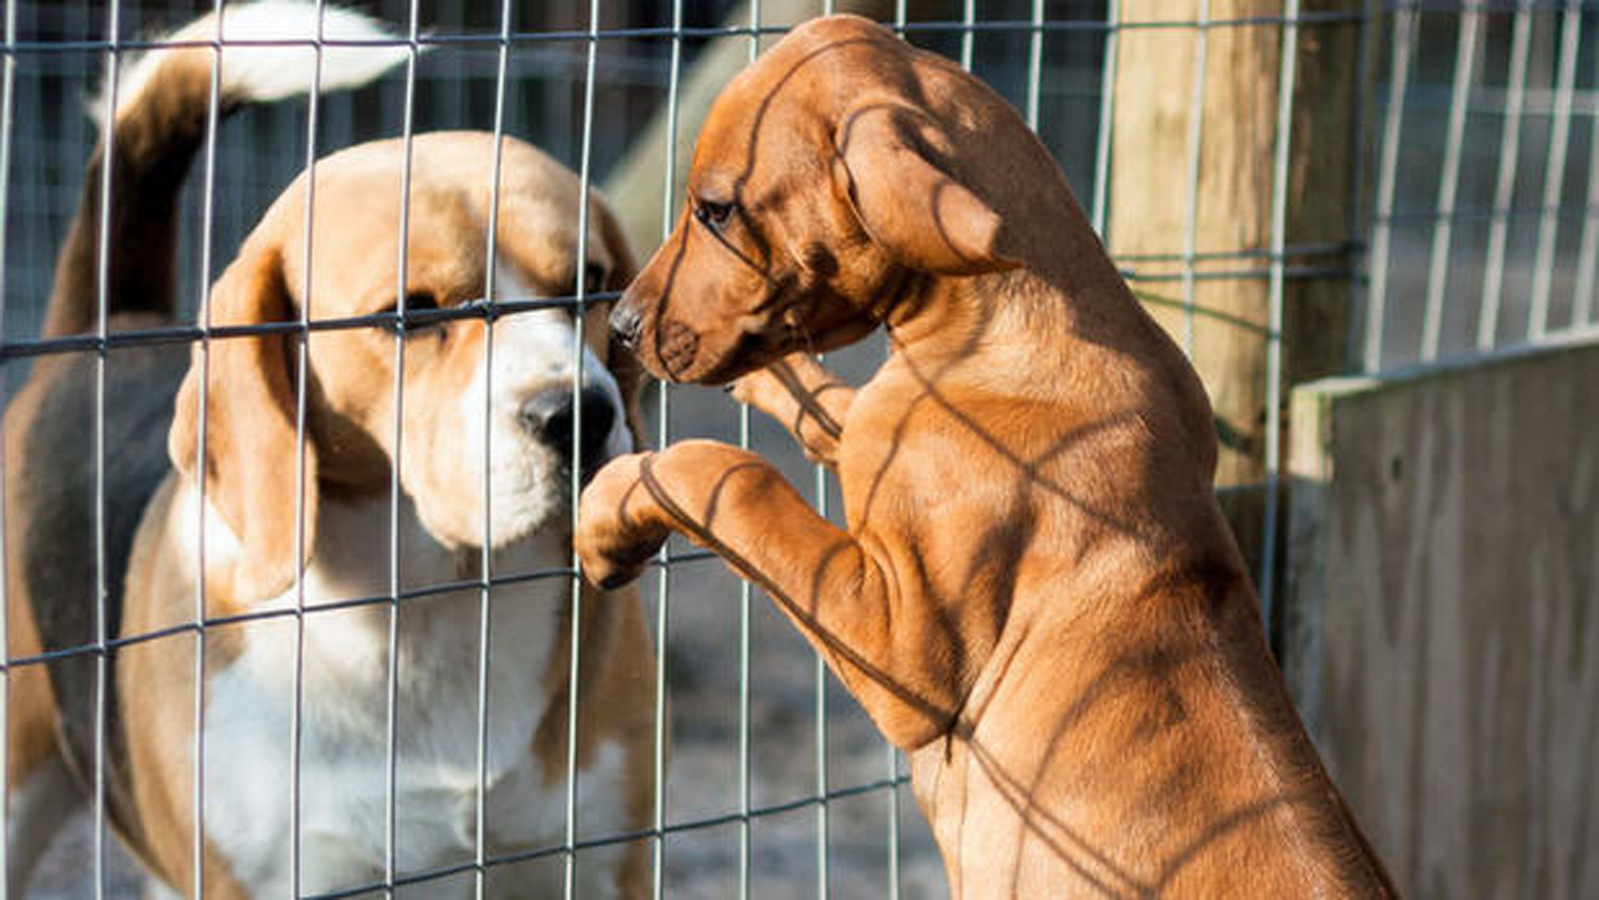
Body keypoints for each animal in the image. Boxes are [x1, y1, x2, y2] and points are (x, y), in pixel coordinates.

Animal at [582, 15, 1394, 900]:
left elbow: (733, 479)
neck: (1016, 328)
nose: (620, 327)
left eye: (716, 210)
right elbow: (838, 416)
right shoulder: (882, 435)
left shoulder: (901, 649)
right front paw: (774, 382)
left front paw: (608, 515)